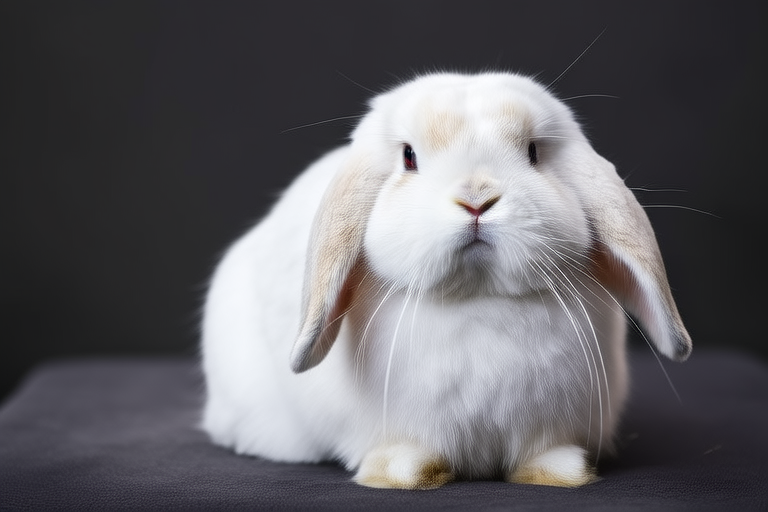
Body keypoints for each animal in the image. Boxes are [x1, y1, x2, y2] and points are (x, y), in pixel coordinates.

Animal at [200, 71, 692, 489]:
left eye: (534, 152)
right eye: (409, 157)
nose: (476, 198)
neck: (478, 296)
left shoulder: (547, 425)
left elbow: (542, 453)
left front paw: (559, 471)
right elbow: (408, 452)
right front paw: (404, 472)